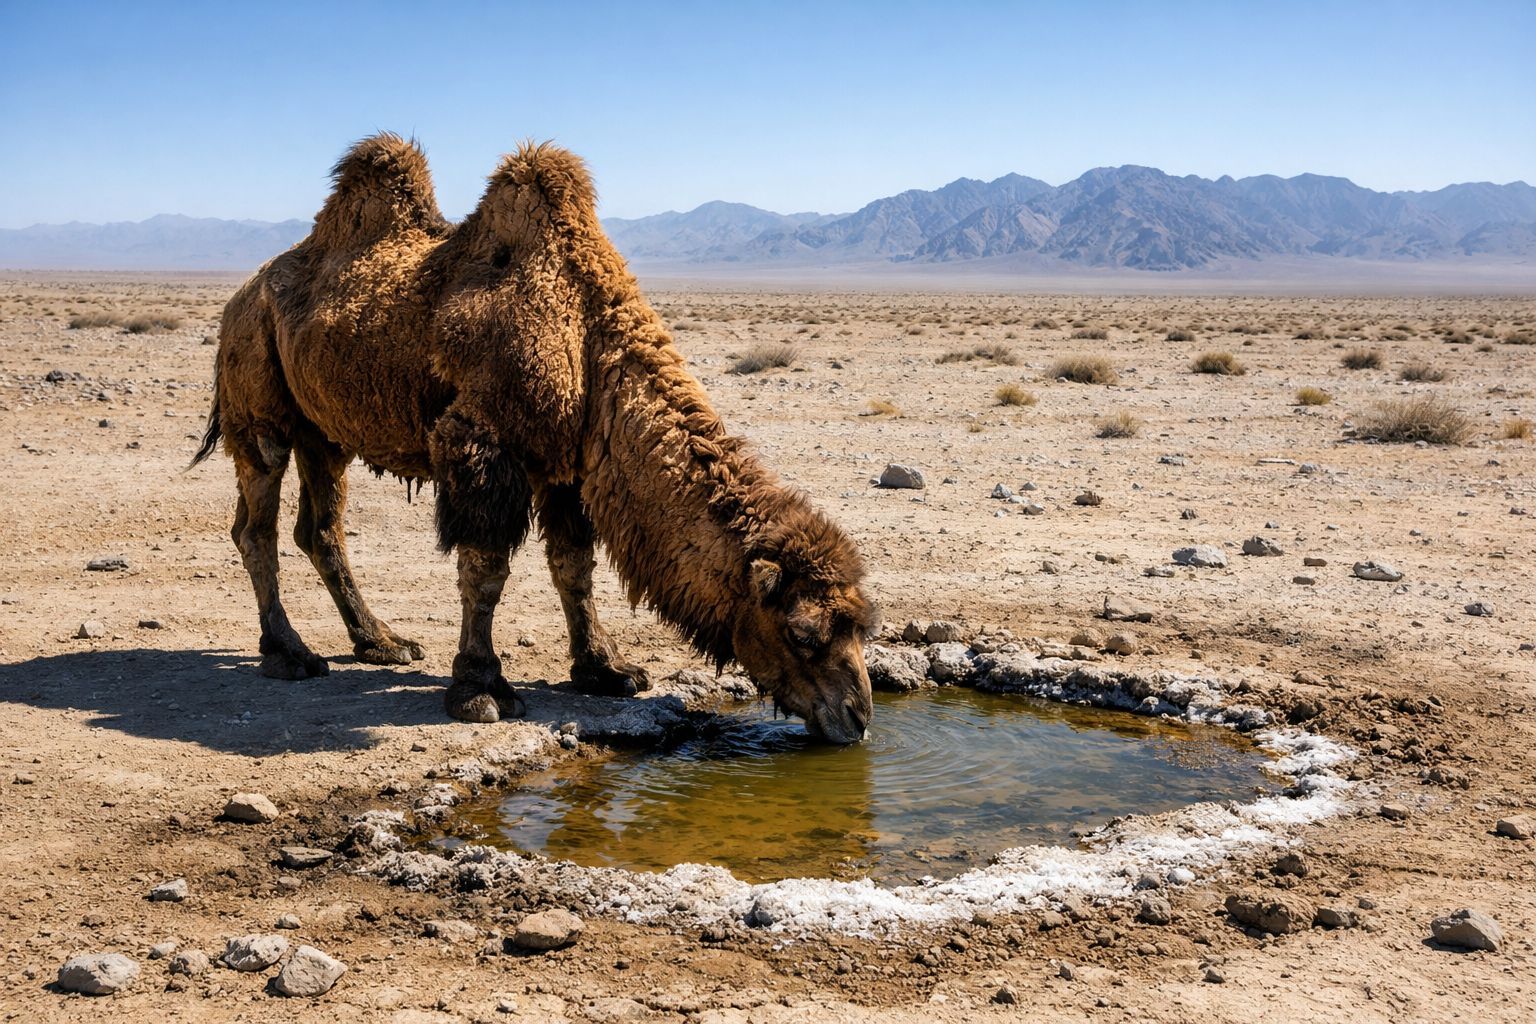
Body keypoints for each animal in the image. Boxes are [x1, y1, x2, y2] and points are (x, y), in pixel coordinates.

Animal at [190, 134, 875, 743]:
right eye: (803, 634)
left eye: (862, 627)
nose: (859, 716)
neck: (590, 344)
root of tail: (244, 291)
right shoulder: (481, 440)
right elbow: (486, 566)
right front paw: (481, 689)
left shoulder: (567, 463)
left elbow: (573, 566)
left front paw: (606, 670)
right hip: (257, 394)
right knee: (257, 525)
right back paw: (289, 653)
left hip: (324, 429)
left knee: (321, 528)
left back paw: (381, 641)